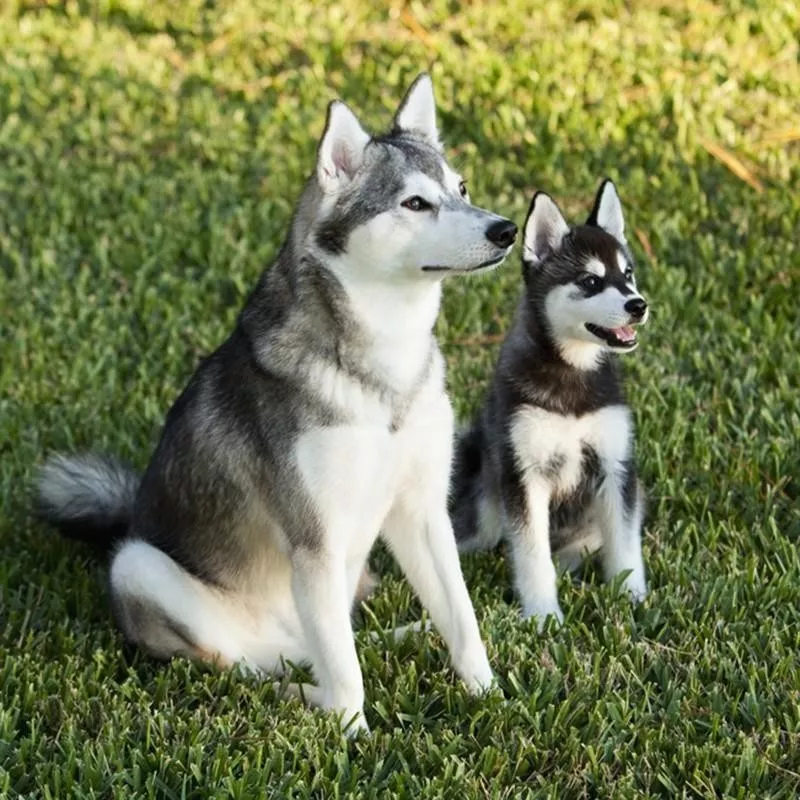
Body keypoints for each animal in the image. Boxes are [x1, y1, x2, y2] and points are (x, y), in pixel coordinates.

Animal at [36, 75, 520, 732]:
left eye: (462, 189)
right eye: (415, 203)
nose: (505, 230)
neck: (381, 363)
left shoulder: (421, 511)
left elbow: (462, 619)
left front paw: (486, 693)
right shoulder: (314, 539)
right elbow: (346, 680)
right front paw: (354, 736)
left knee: (333, 641)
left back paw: (401, 636)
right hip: (141, 567)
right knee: (256, 665)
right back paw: (302, 697)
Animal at [450, 180, 648, 624]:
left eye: (627, 275)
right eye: (590, 282)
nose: (639, 305)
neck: (571, 373)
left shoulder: (615, 466)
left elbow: (625, 545)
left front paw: (633, 599)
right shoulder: (526, 475)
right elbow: (531, 555)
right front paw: (543, 616)